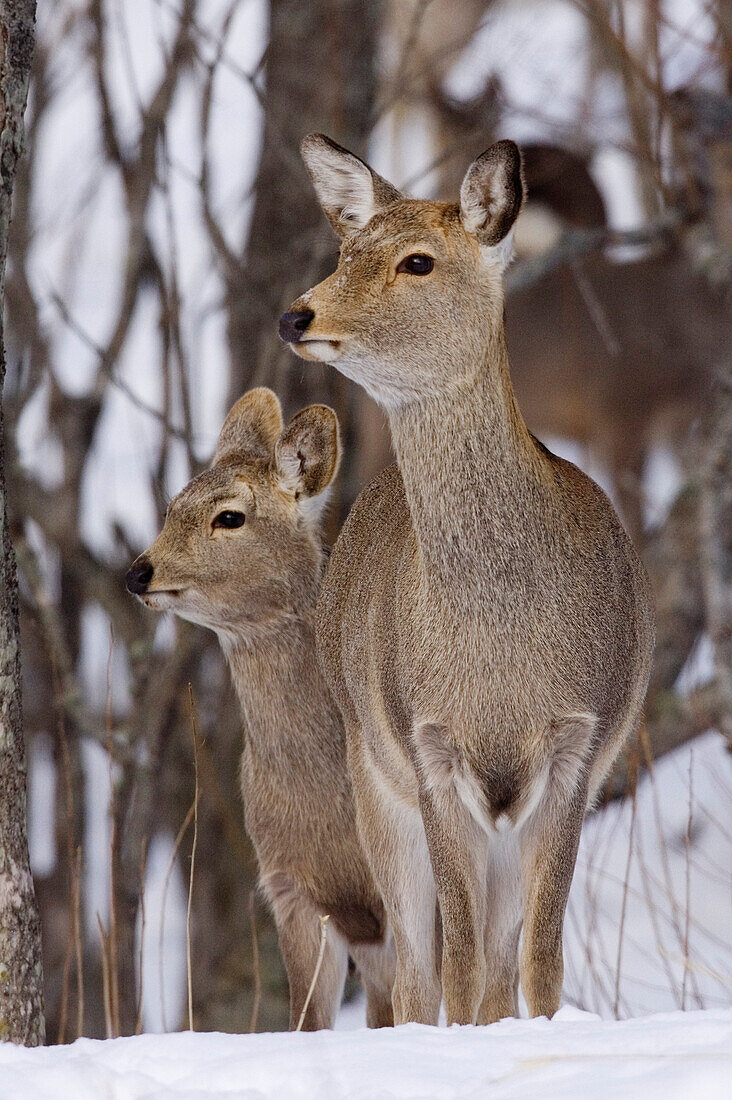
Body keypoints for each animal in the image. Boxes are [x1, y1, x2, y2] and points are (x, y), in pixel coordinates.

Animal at [280, 135, 656, 1020]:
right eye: (346, 251)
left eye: (417, 260)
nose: (297, 315)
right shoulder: (428, 747)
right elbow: (451, 964)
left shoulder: (580, 744)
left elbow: (538, 961)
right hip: (373, 779)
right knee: (418, 970)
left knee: (492, 958)